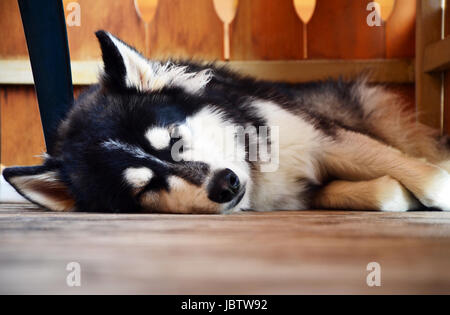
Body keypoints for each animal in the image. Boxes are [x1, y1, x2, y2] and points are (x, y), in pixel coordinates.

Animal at [2, 30, 450, 214]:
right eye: (146, 188)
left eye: (176, 140)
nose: (226, 184)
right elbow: (386, 191)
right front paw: (394, 192)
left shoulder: (318, 136)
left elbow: (414, 172)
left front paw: (433, 187)